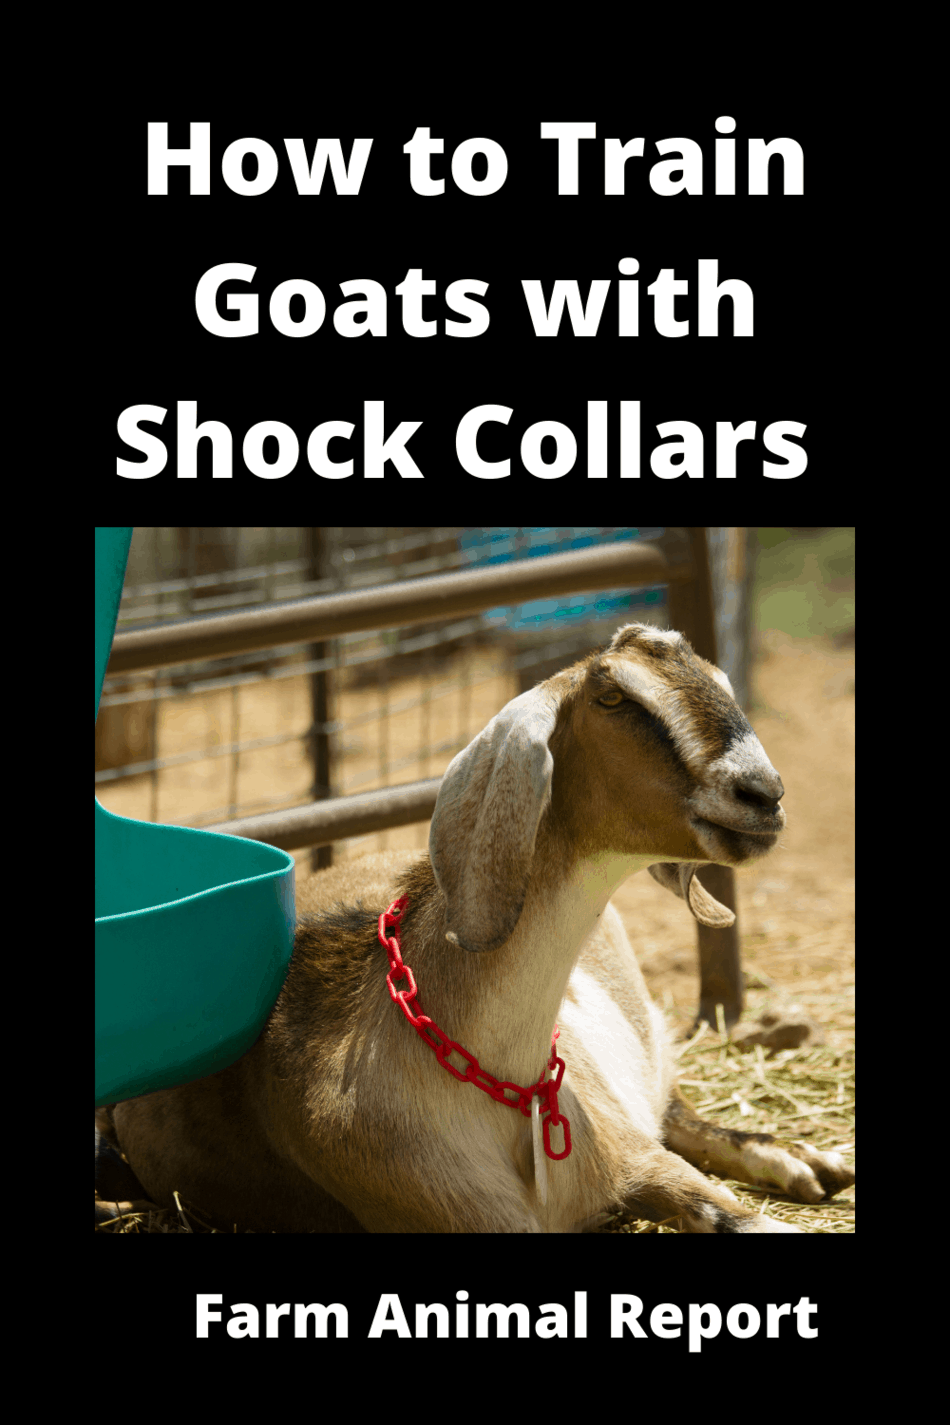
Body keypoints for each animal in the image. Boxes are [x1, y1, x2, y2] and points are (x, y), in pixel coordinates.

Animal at [109, 623, 854, 1232]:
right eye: (612, 696)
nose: (763, 794)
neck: (503, 1087)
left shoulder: (635, 1155)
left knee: (676, 1108)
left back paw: (806, 1160)